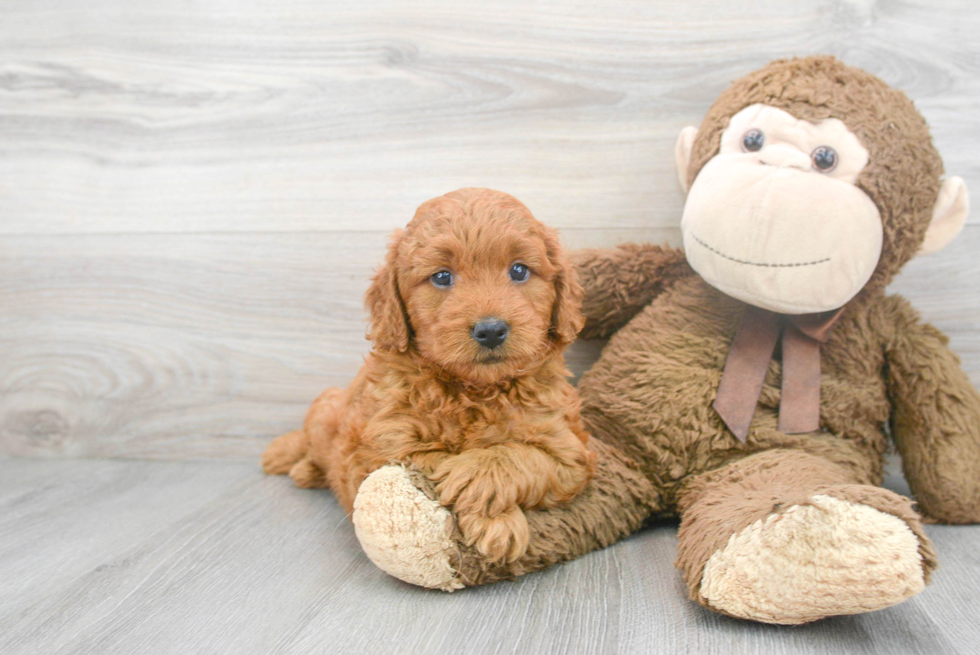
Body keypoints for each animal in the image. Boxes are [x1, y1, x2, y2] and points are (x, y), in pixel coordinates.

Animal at [262, 187, 596, 560]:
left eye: (520, 271)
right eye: (441, 277)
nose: (491, 330)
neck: (474, 390)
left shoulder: (572, 451)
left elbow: (526, 457)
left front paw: (478, 481)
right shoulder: (381, 447)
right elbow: (428, 459)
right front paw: (496, 518)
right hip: (328, 408)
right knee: (312, 439)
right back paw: (292, 460)